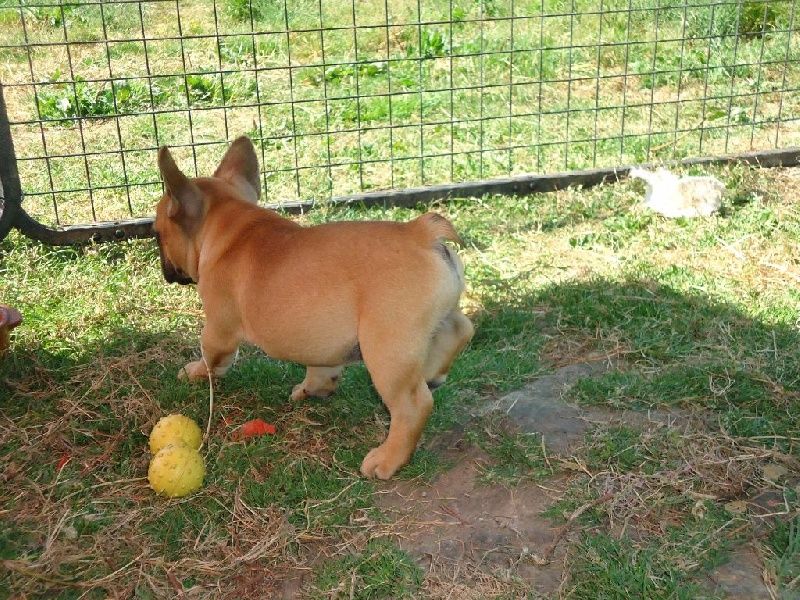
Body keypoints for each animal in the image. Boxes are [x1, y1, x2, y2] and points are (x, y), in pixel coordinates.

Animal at [153, 135, 472, 478]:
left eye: (157, 234)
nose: (165, 268)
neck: (231, 225)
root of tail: (421, 233)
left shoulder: (219, 327)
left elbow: (211, 356)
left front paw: (195, 372)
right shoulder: (323, 342)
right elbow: (322, 367)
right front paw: (314, 389)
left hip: (387, 348)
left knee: (413, 405)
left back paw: (388, 459)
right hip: (431, 319)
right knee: (461, 327)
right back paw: (434, 370)